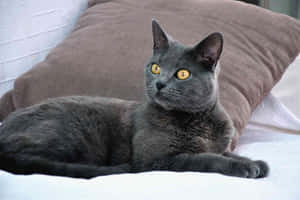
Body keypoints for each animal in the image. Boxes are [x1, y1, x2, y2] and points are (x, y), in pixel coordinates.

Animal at [0, 20, 268, 179]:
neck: (198, 120)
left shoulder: (220, 144)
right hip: (67, 133)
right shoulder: (156, 159)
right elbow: (203, 158)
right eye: (156, 68)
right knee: (37, 163)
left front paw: (253, 161)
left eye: (182, 73)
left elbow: (224, 152)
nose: (159, 84)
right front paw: (245, 167)